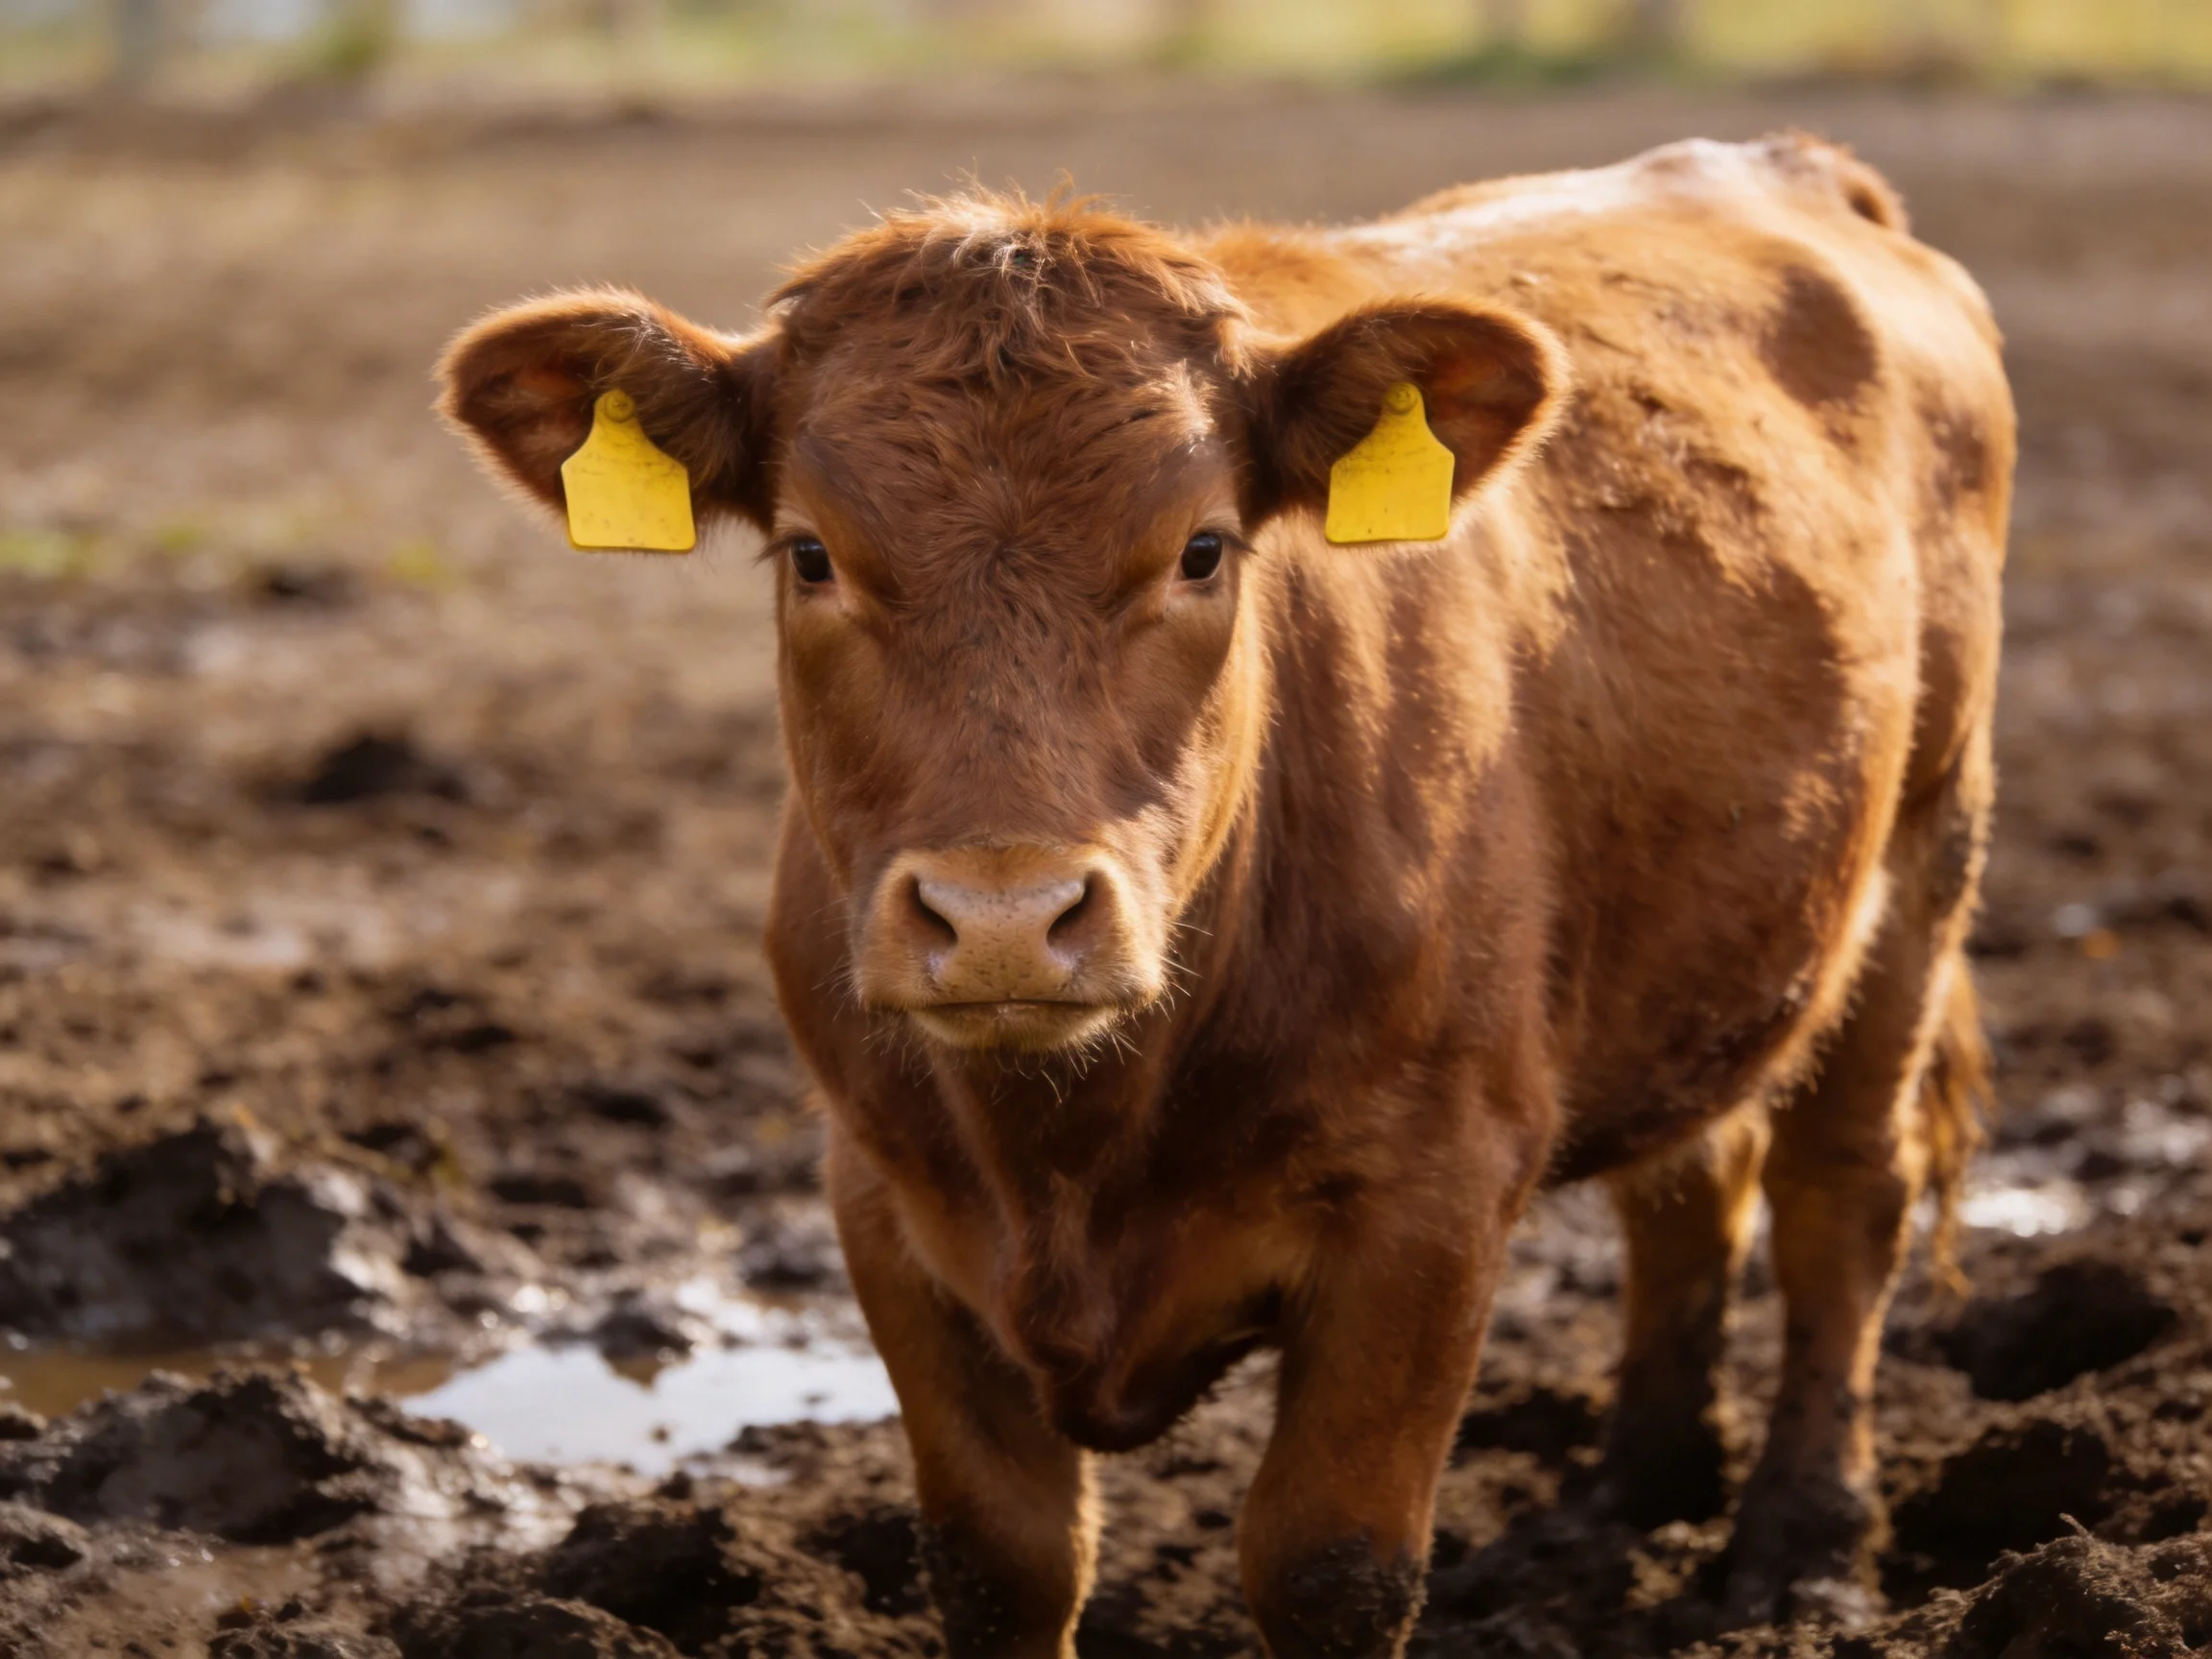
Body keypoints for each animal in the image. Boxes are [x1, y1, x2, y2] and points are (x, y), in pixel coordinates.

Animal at [439, 133, 2010, 1658]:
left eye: (1202, 548)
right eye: (812, 553)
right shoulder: (879, 1194)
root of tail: (1782, 163)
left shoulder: (1434, 1198)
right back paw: (1633, 1490)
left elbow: (1330, 1565)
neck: (1071, 1156)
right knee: (1693, 1171)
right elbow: (1001, 1563)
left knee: (1840, 1198)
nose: (1004, 919)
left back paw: (1803, 1553)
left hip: (1926, 848)